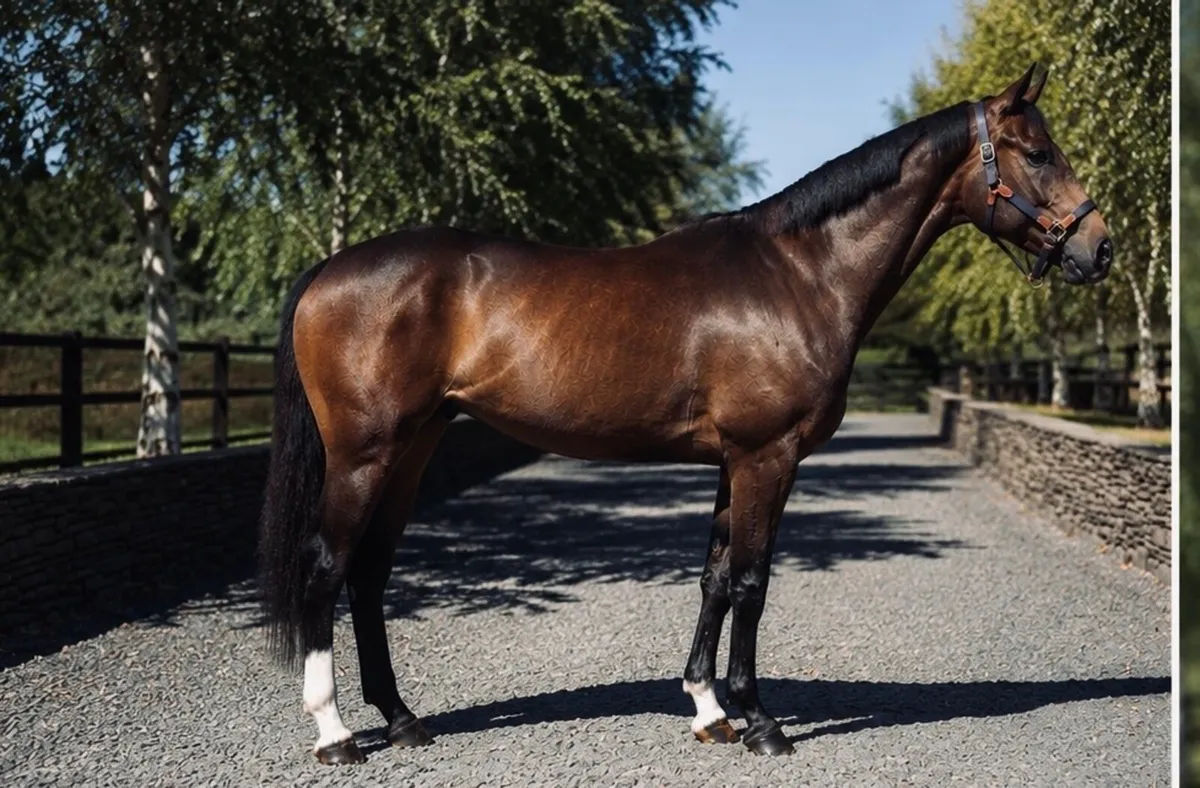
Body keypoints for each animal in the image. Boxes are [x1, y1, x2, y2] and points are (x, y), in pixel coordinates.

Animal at [257, 64, 1112, 764]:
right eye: (1039, 153)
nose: (1098, 248)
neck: (800, 273)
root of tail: (330, 270)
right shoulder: (768, 457)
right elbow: (753, 582)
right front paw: (763, 724)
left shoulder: (734, 461)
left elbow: (712, 578)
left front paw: (709, 711)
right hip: (365, 454)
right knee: (327, 567)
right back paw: (335, 733)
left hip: (413, 448)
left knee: (370, 573)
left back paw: (403, 719)